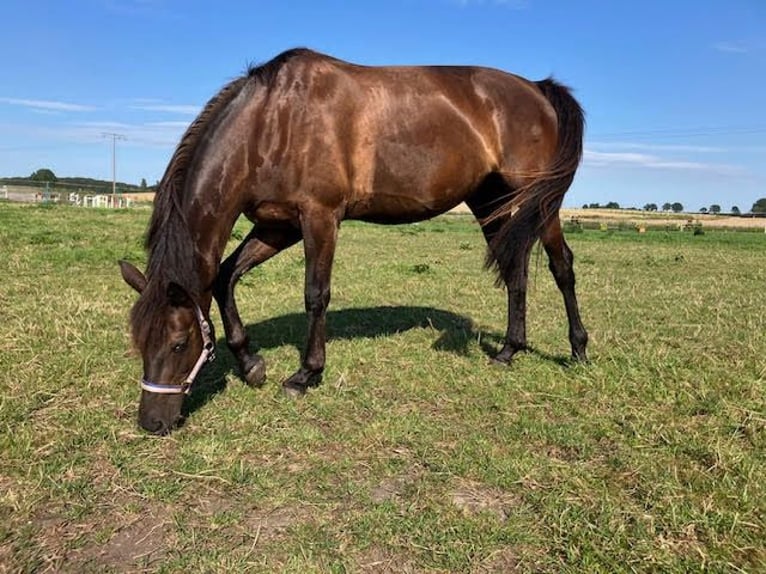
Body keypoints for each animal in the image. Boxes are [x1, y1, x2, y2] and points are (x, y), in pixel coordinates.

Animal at [118, 48, 588, 436]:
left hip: (537, 202)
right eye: (139, 342)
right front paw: (251, 365)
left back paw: (578, 350)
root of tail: (538, 89)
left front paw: (305, 375)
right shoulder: (278, 226)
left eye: (179, 343)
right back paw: (509, 350)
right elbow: (225, 276)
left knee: (561, 265)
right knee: (515, 269)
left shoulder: (320, 218)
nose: (152, 422)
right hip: (492, 203)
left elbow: (315, 294)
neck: (272, 122)